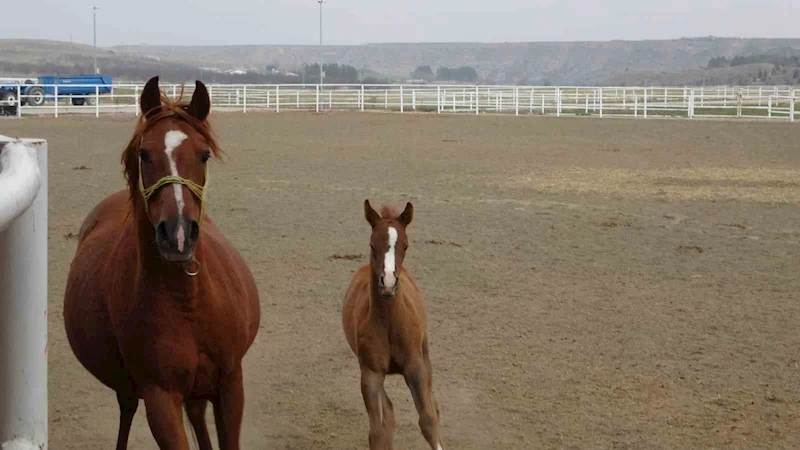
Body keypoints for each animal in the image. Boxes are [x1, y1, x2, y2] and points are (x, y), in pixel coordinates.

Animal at [65, 77, 260, 450]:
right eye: (145, 154)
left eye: (204, 154)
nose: (178, 233)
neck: (190, 303)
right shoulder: (161, 399)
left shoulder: (232, 384)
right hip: (130, 387)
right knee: (127, 410)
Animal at [342, 200, 446, 450]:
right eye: (372, 245)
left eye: (405, 246)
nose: (388, 283)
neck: (389, 324)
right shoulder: (370, 374)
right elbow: (377, 432)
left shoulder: (415, 367)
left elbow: (428, 420)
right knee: (388, 413)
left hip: (425, 354)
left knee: (433, 405)